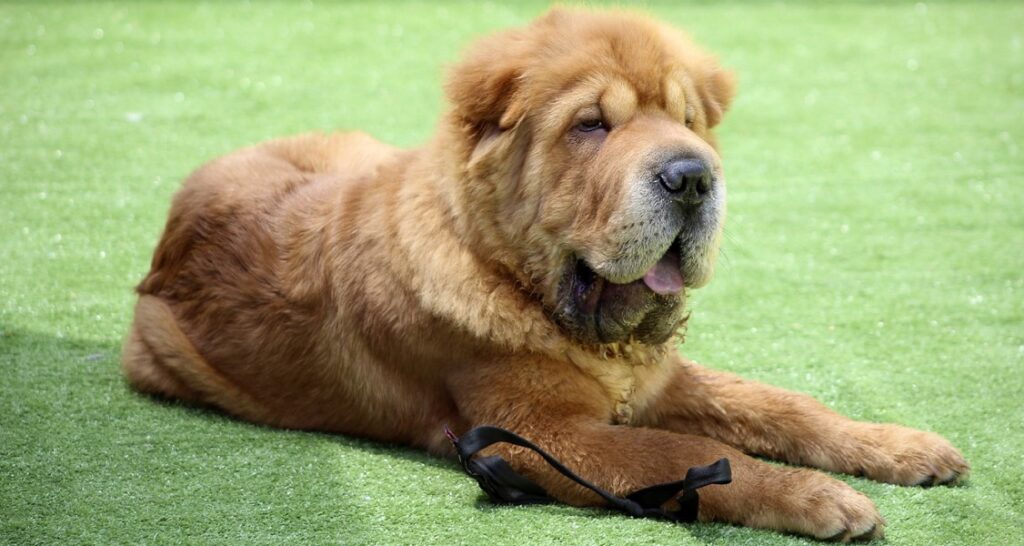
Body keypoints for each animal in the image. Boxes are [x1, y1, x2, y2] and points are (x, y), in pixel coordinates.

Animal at [119, 8, 966, 540]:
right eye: (591, 126)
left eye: (687, 120)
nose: (693, 177)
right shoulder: (538, 437)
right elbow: (682, 457)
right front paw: (818, 497)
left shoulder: (658, 382)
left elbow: (783, 408)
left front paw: (901, 448)